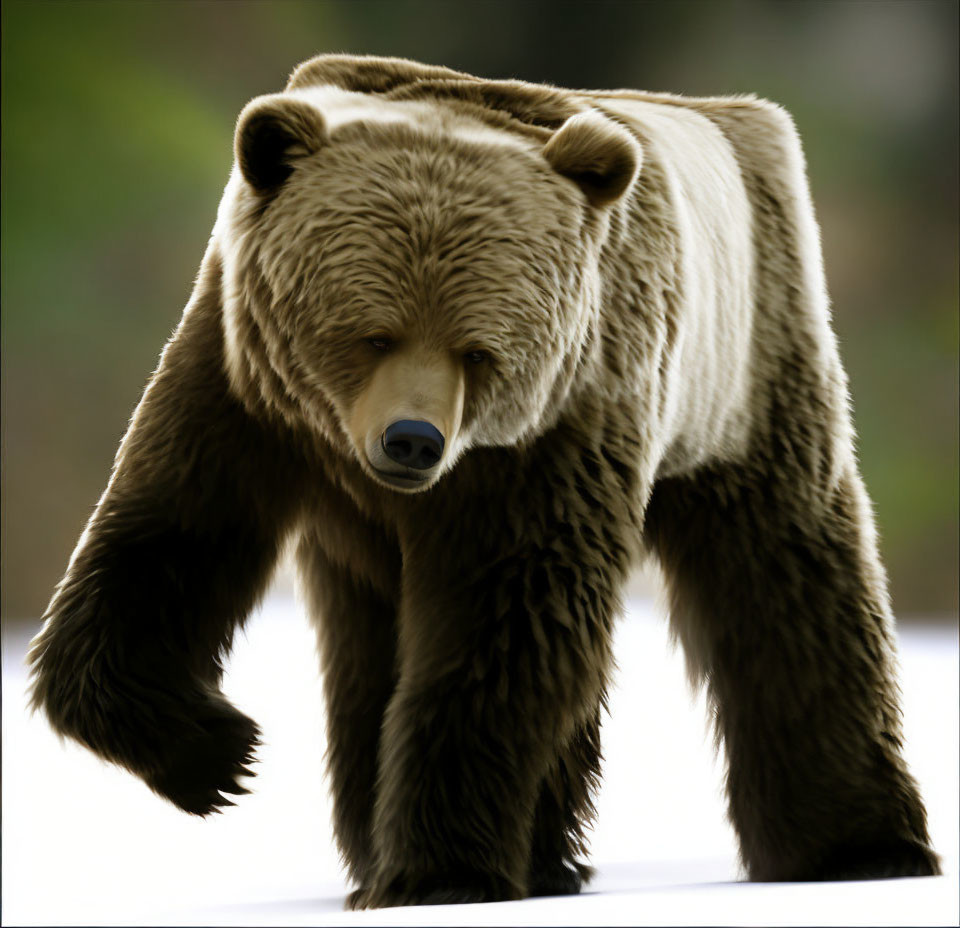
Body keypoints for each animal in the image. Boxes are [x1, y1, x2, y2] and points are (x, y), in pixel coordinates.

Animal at [28, 52, 936, 908]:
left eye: (478, 350)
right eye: (372, 333)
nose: (412, 441)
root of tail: (746, 116)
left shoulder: (553, 431)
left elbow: (505, 624)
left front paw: (438, 869)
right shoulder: (246, 393)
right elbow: (164, 547)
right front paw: (221, 757)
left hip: (746, 374)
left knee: (786, 582)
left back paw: (861, 847)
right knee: (369, 651)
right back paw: (523, 855)